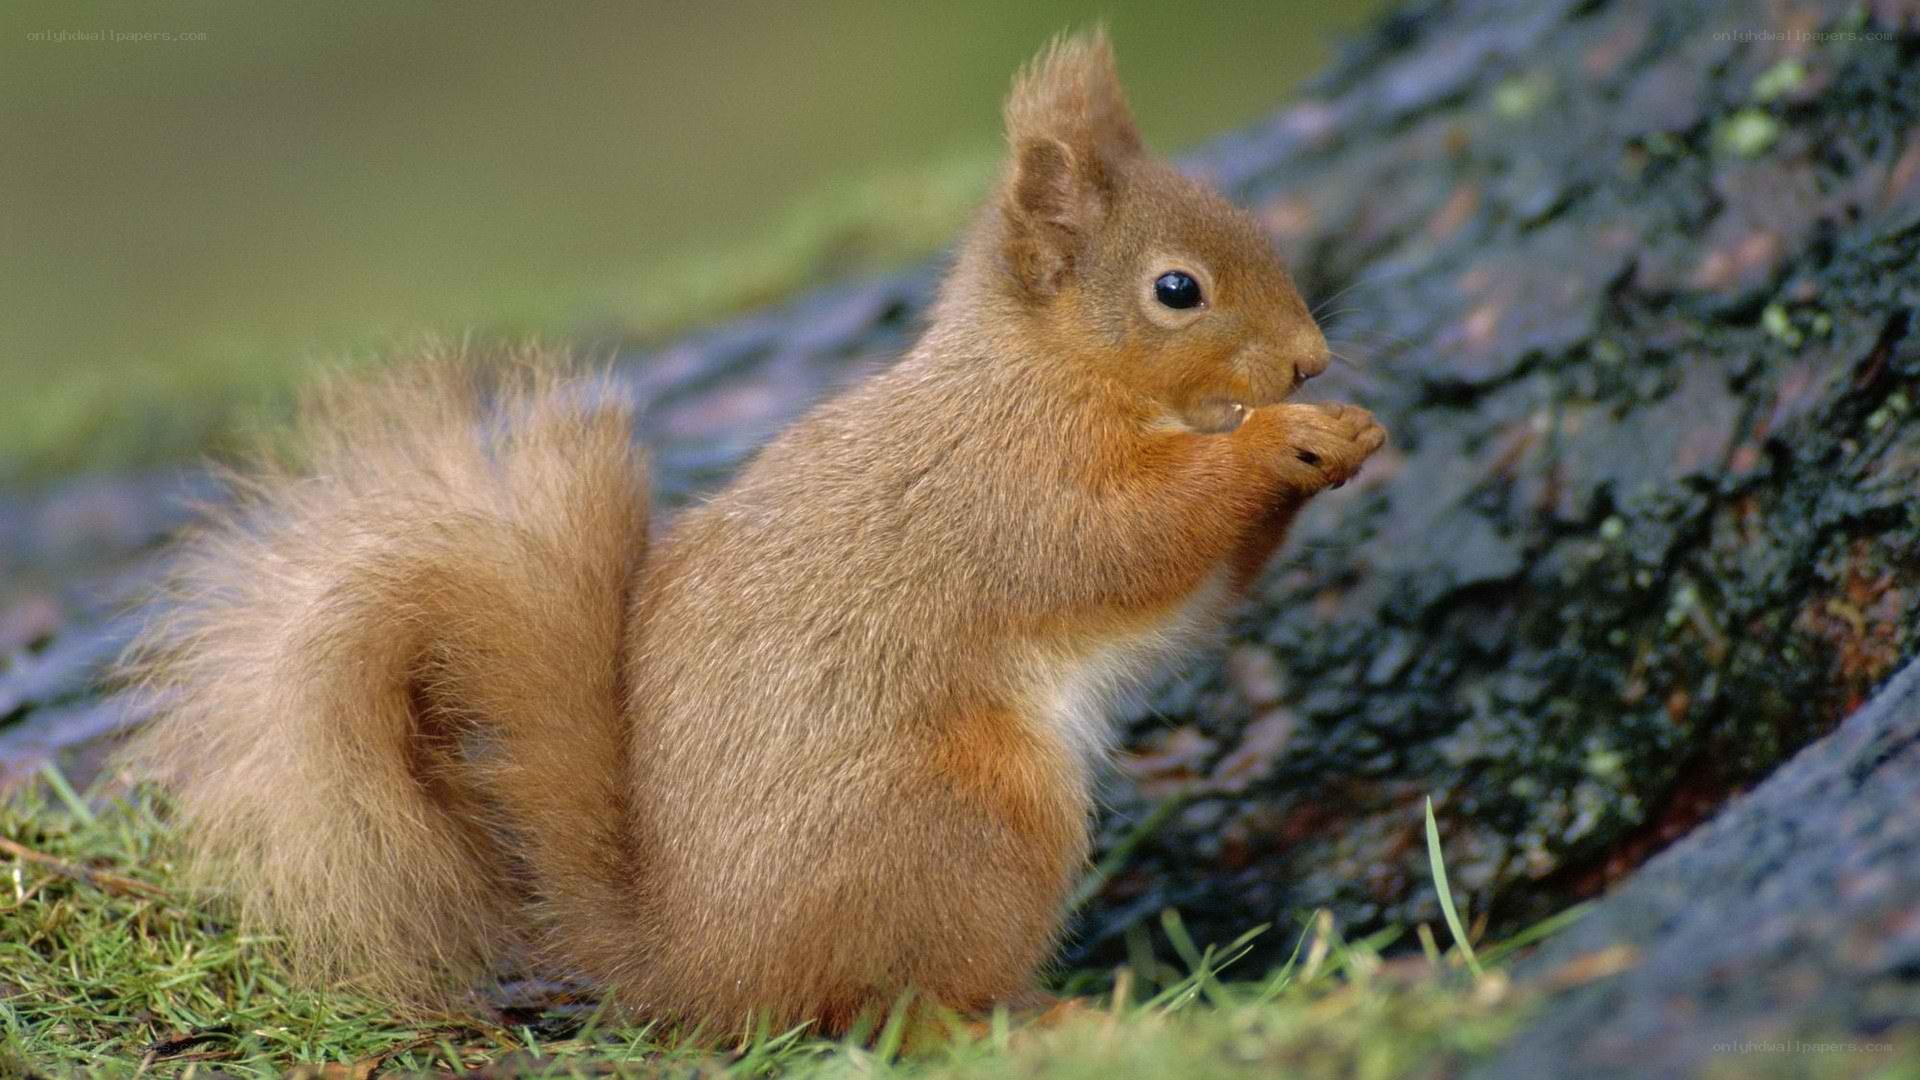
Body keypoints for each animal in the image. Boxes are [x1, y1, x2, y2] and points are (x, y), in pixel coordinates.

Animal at [122, 31, 1385, 1035]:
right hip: (974, 820)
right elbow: (1134, 540)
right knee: (892, 1011)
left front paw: (1347, 434)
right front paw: (1279, 443)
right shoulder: (1016, 491)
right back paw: (1043, 1015)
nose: (1308, 362)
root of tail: (702, 969)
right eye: (1177, 290)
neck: (1044, 375)